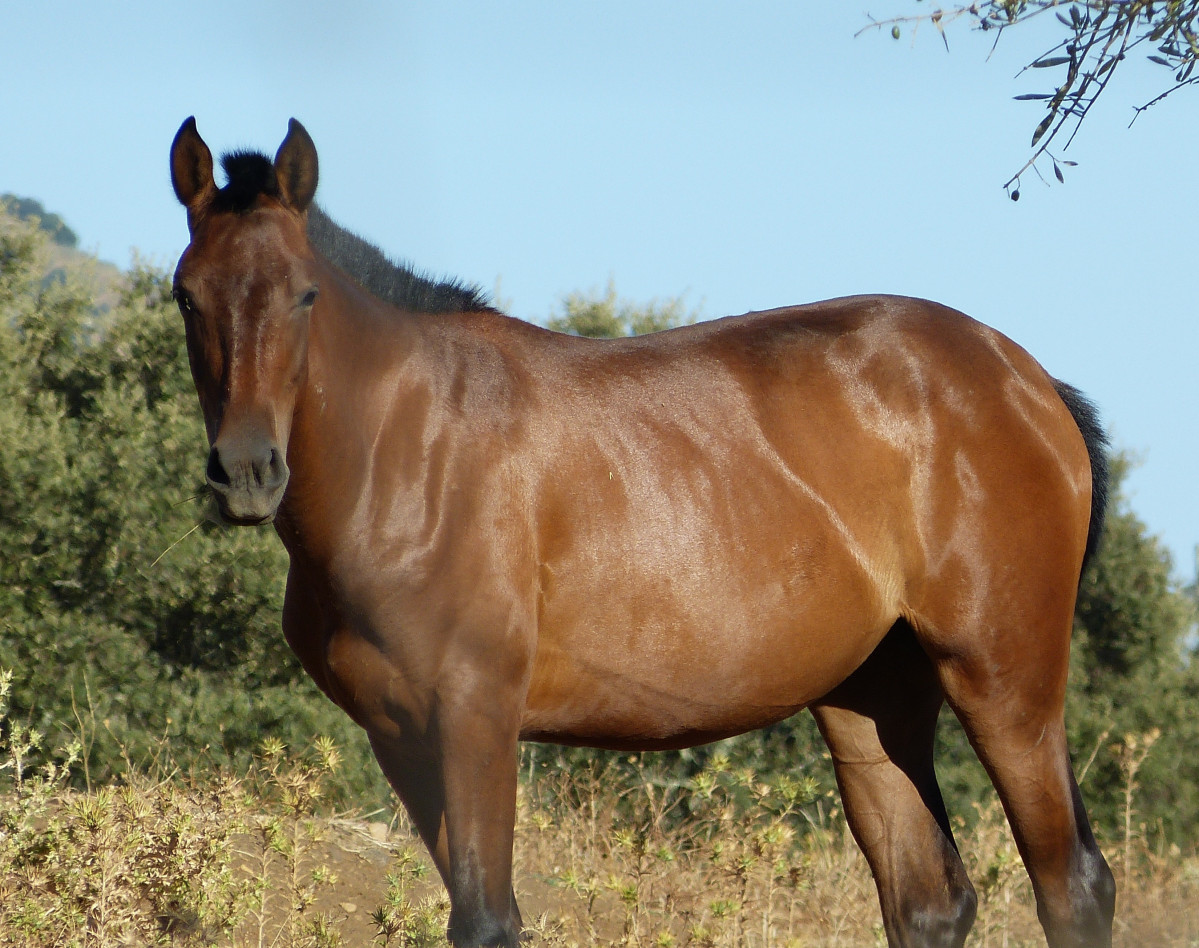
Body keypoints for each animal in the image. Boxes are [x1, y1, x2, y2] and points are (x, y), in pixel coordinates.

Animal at [166, 118, 1112, 948]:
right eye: (186, 295)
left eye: (305, 294)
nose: (247, 472)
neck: (405, 451)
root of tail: (1023, 378)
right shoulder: (401, 737)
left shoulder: (474, 719)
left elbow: (487, 921)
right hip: (872, 697)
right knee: (928, 903)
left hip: (1003, 680)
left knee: (1072, 886)